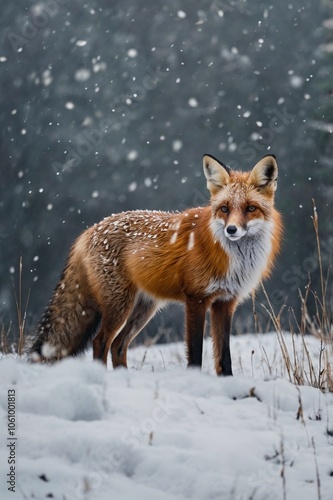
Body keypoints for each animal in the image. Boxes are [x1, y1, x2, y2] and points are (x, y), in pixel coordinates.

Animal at [30, 154, 280, 374]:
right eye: (225, 209)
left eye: (250, 208)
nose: (231, 230)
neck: (232, 259)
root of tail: (89, 230)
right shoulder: (196, 299)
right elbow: (195, 353)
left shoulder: (225, 303)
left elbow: (224, 357)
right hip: (119, 306)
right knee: (100, 342)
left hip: (143, 308)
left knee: (118, 345)